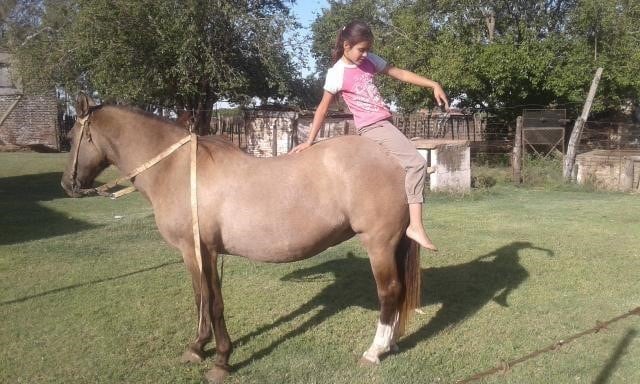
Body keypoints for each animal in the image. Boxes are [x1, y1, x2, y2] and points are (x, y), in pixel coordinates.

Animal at [60, 94, 420, 384]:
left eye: (72, 135)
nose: (67, 184)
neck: (178, 170)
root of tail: (397, 159)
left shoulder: (200, 251)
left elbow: (213, 302)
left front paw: (221, 359)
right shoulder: (198, 253)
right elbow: (200, 298)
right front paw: (197, 347)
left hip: (379, 243)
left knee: (389, 292)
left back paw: (374, 351)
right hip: (393, 244)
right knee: (399, 291)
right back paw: (392, 344)